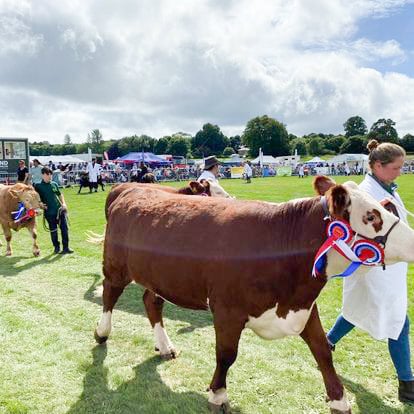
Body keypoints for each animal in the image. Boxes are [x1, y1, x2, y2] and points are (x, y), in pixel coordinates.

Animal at [94, 176, 414, 412]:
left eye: (387, 207)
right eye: (372, 216)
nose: (412, 242)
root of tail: (130, 187)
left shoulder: (304, 308)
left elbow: (323, 351)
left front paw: (339, 400)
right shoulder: (227, 310)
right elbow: (226, 355)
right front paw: (218, 395)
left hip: (158, 277)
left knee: (151, 302)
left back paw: (164, 346)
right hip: (116, 266)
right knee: (109, 296)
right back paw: (101, 332)